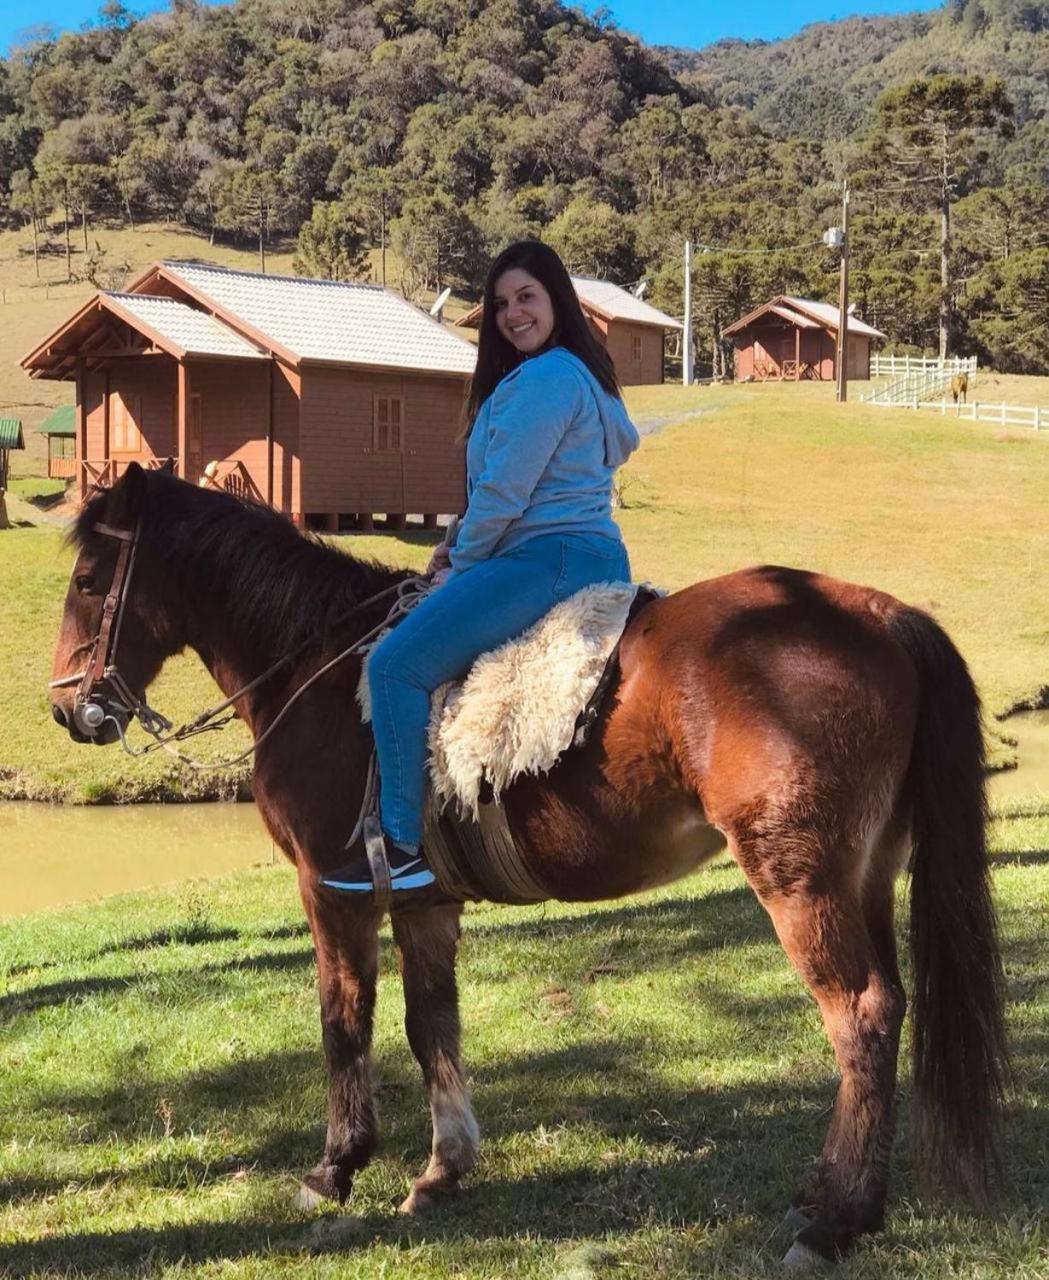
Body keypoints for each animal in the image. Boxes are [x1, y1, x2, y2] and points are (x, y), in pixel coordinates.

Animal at [49, 465, 1008, 1264]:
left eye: (90, 582)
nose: (68, 710)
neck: (318, 667)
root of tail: (876, 613)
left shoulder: (333, 890)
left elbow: (343, 1022)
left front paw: (335, 1169)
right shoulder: (423, 903)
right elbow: (429, 1024)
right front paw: (442, 1171)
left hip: (800, 882)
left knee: (861, 1015)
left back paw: (838, 1220)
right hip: (865, 874)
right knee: (889, 1004)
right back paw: (832, 1195)